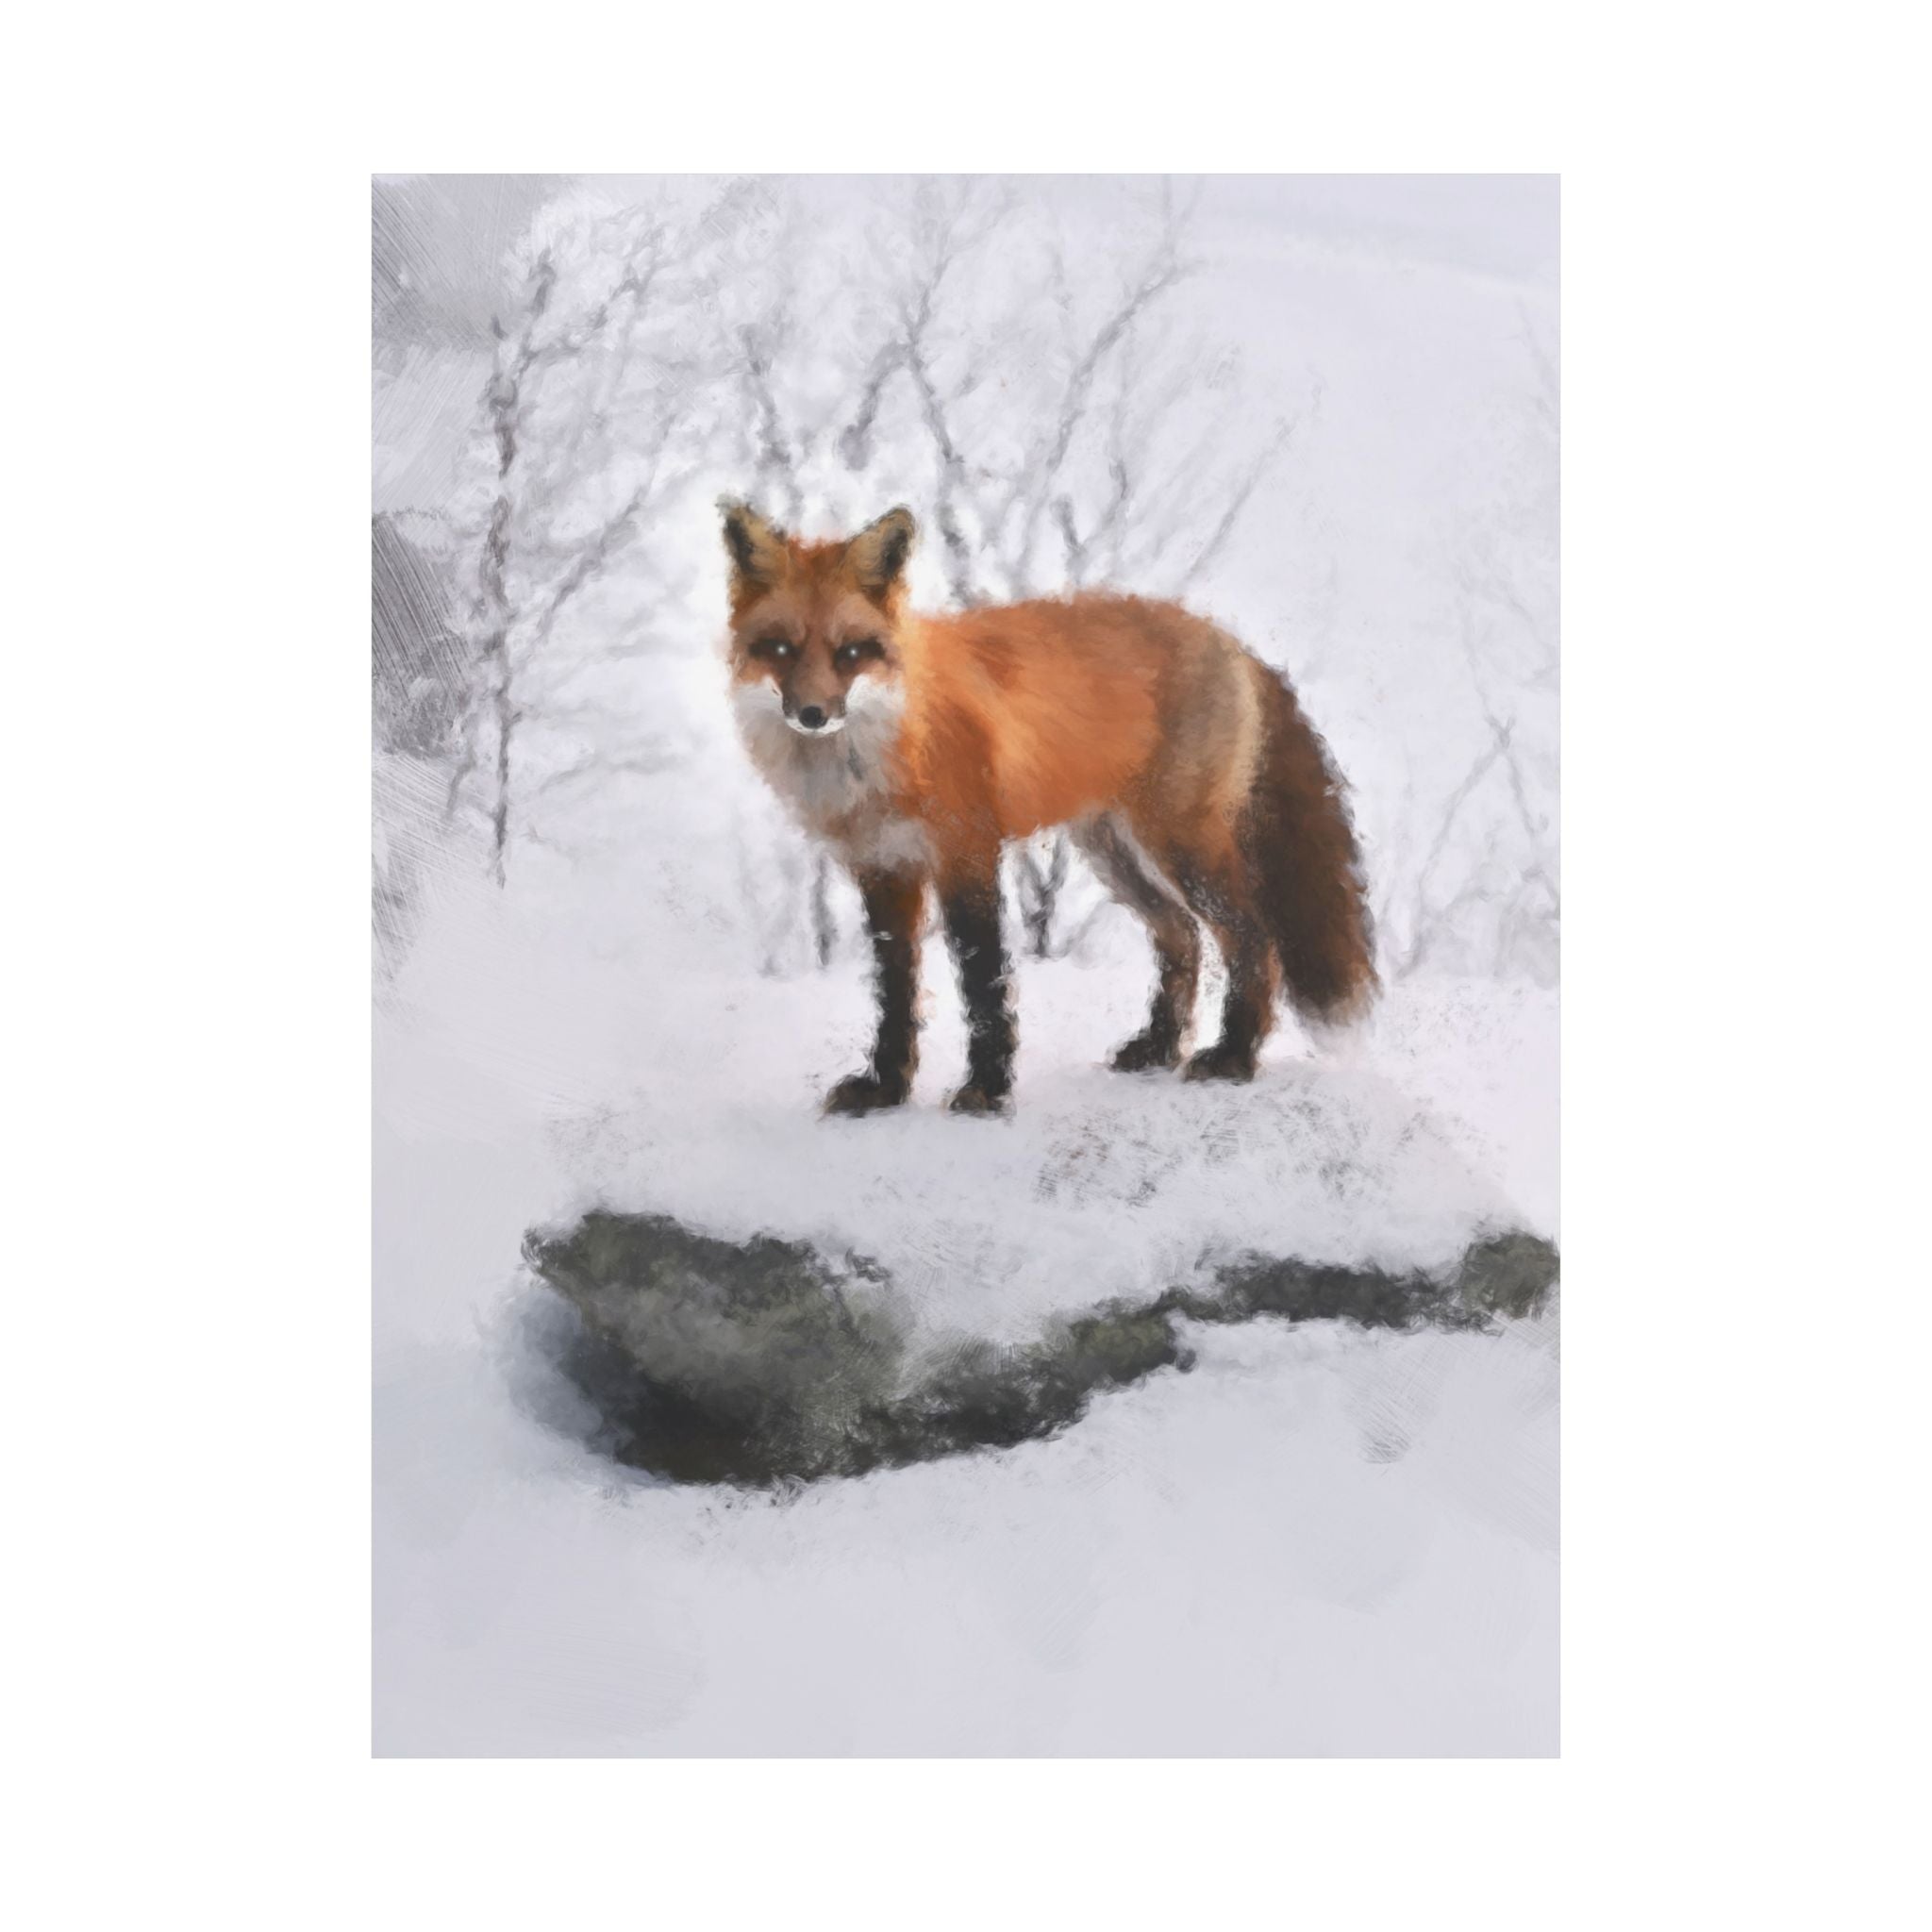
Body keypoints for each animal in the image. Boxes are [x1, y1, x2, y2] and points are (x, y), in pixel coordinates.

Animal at [722, 499, 1376, 1117]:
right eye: (780, 649)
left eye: (851, 652)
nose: (812, 715)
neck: (887, 745)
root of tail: (1230, 640)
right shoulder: (884, 869)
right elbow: (895, 994)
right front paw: (885, 1089)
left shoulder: (967, 853)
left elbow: (983, 982)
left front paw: (987, 1089)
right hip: (1116, 854)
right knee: (1182, 938)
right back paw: (1160, 1047)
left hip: (1181, 847)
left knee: (1252, 940)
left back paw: (1234, 1057)